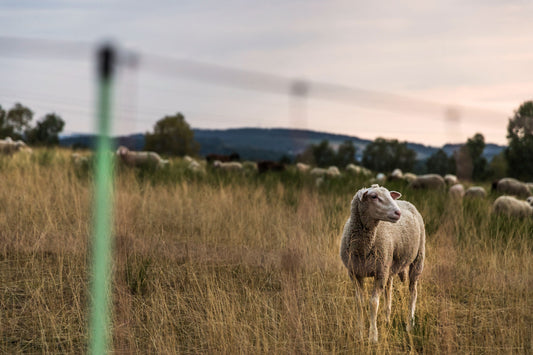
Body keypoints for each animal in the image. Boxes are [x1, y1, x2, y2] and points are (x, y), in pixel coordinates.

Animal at [340, 185, 424, 344]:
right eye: (374, 196)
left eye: (389, 196)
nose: (398, 213)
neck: (363, 247)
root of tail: (406, 201)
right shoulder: (354, 273)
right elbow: (359, 302)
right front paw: (359, 333)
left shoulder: (379, 273)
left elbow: (373, 303)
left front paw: (373, 337)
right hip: (388, 265)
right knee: (388, 291)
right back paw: (387, 319)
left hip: (417, 259)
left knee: (413, 291)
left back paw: (410, 324)